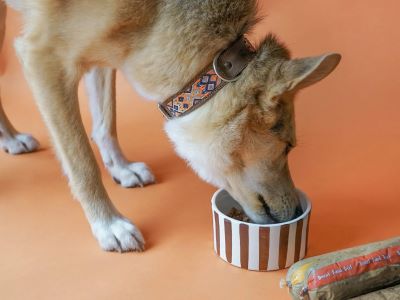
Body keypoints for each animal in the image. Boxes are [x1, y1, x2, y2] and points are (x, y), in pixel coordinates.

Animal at [0, 0, 340, 252]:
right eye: (288, 147)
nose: (296, 213)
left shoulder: (106, 51)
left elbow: (105, 121)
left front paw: (121, 168)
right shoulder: (44, 59)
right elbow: (82, 163)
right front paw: (108, 224)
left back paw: (12, 138)